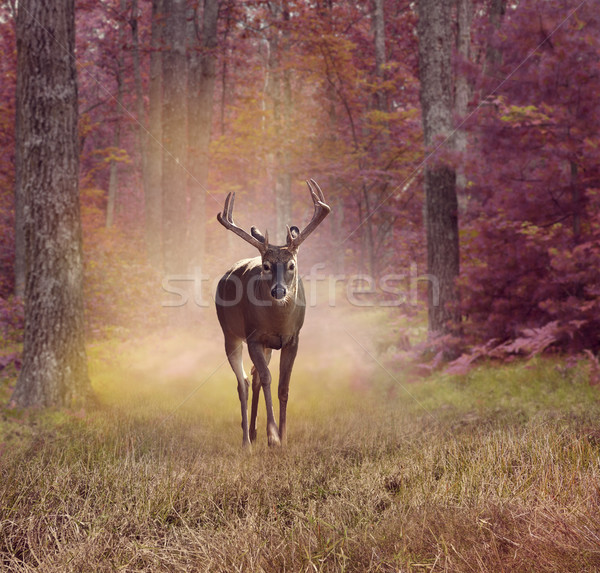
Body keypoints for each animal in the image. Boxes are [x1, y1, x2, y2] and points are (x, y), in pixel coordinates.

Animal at [216, 179, 330, 446]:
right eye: (266, 266)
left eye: (291, 265)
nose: (279, 291)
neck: (278, 322)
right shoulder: (253, 337)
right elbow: (268, 380)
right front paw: (274, 437)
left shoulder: (293, 339)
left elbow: (283, 386)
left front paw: (283, 438)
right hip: (230, 334)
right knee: (243, 383)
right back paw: (247, 441)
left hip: (266, 345)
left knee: (254, 376)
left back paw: (255, 433)